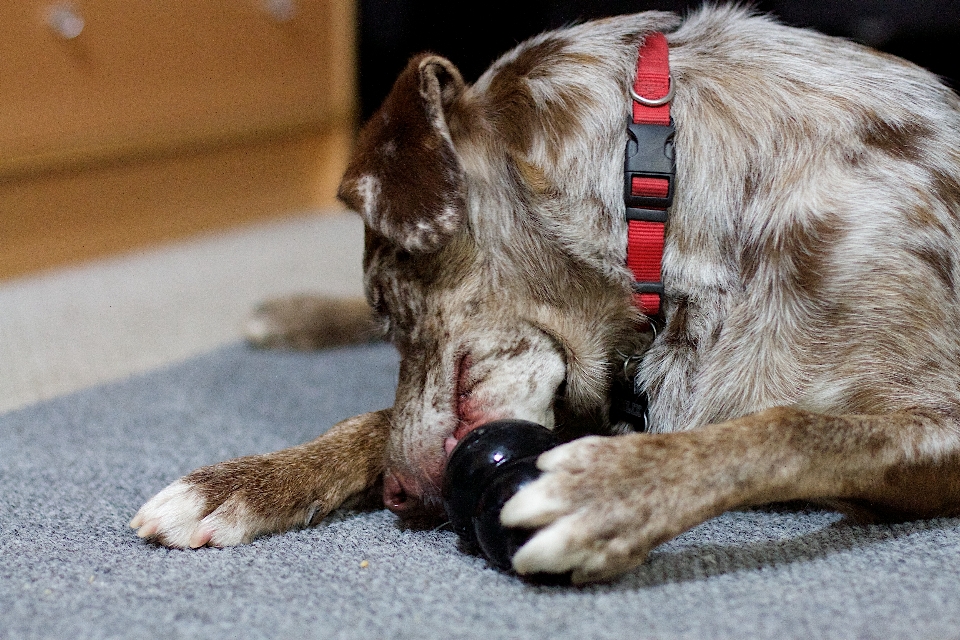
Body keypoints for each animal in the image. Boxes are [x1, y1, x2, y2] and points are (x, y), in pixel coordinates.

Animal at [131, 5, 960, 584]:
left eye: (392, 306)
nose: (399, 498)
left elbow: (791, 427)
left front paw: (613, 492)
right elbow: (370, 419)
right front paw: (242, 483)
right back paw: (289, 313)